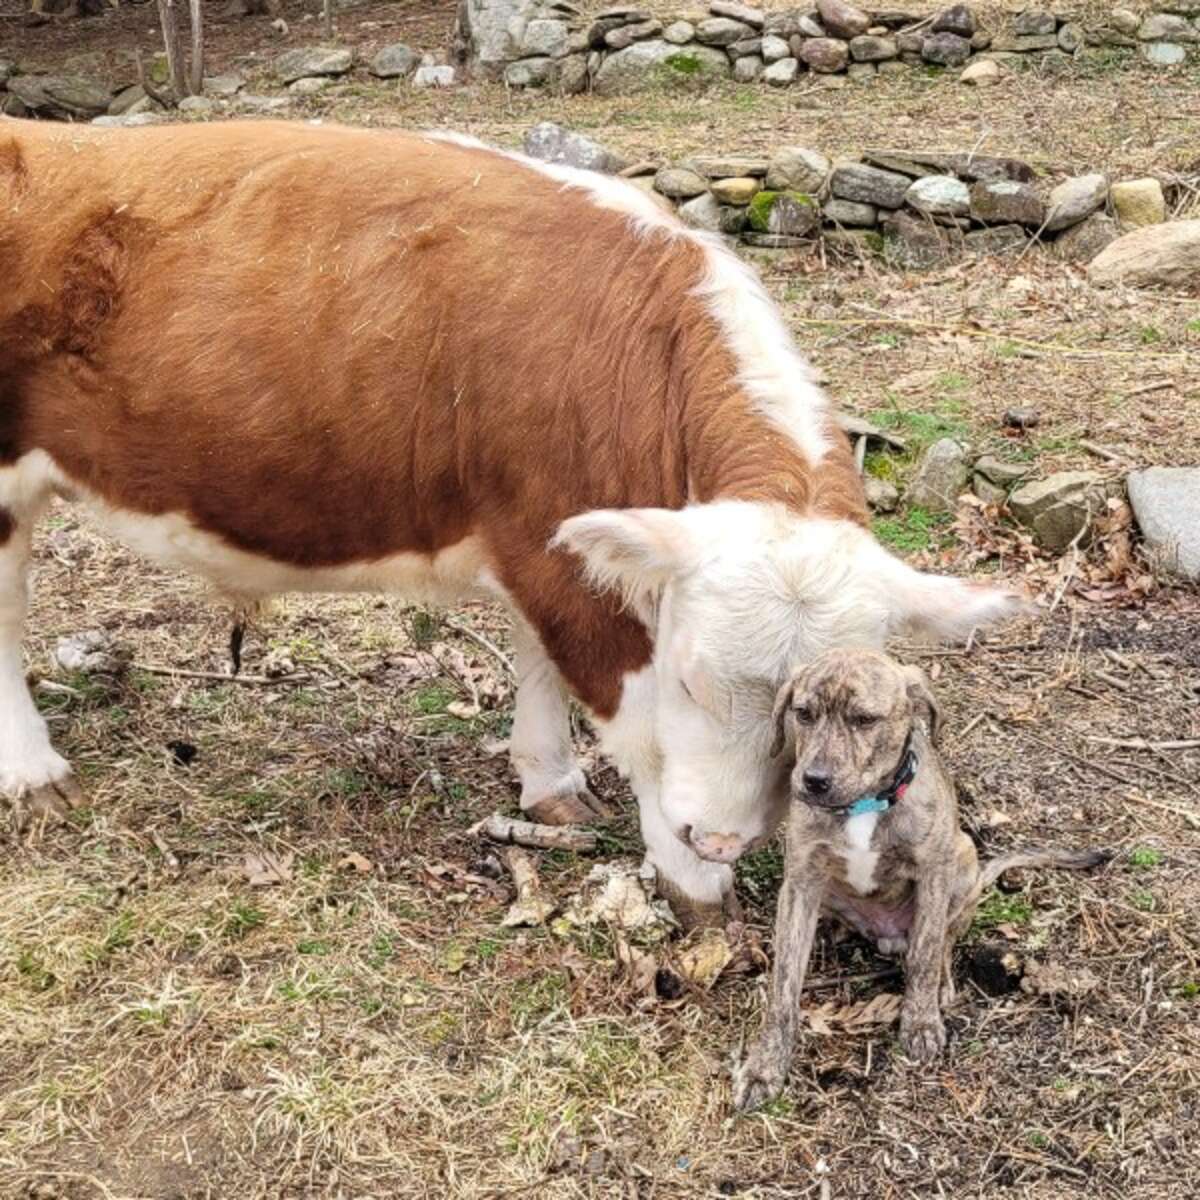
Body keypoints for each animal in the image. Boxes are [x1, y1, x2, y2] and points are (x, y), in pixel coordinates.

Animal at [0, 119, 1022, 916]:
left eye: (813, 717)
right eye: (693, 679)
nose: (724, 840)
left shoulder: (544, 537)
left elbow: (536, 660)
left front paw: (551, 783)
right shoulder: (561, 562)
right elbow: (639, 731)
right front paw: (691, 883)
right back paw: (31, 770)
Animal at [734, 652, 1108, 1108]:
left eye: (864, 719)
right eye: (803, 713)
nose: (814, 781)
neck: (864, 806)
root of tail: (884, 934)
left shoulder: (932, 872)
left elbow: (925, 954)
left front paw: (921, 1022)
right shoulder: (801, 878)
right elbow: (784, 985)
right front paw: (766, 1066)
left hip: (961, 860)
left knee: (944, 937)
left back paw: (940, 981)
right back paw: (829, 932)